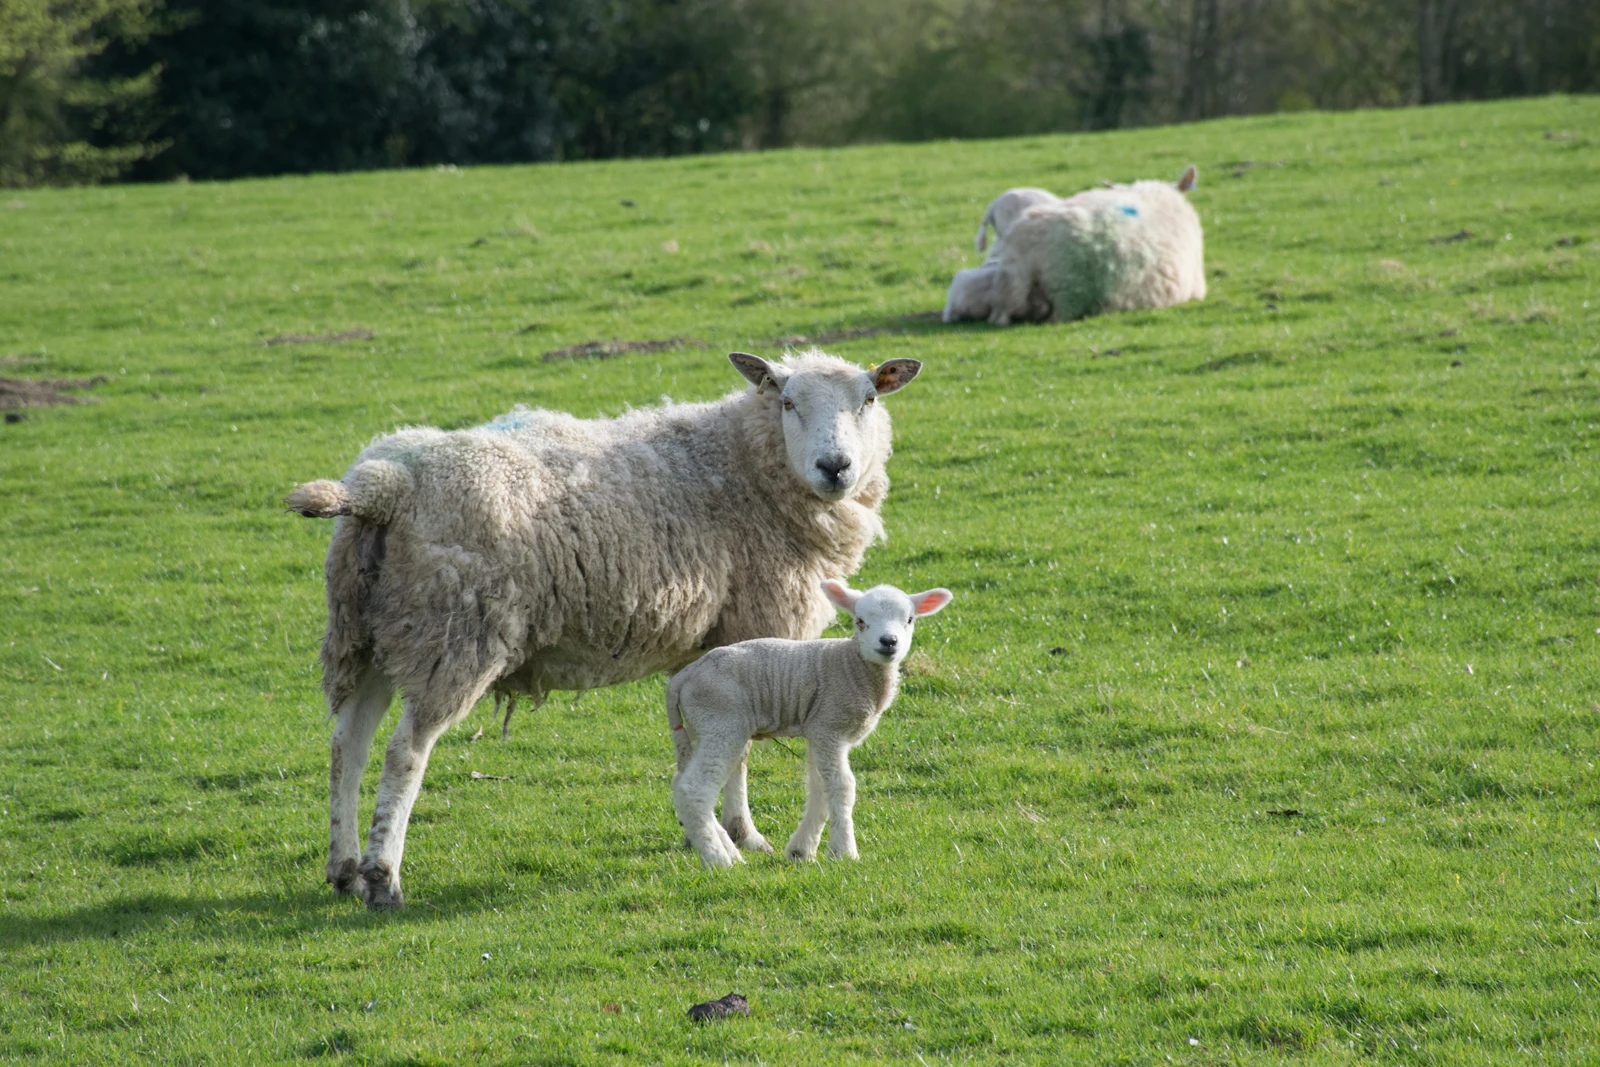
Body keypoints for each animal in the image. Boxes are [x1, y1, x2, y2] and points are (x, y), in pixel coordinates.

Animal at [284, 349, 923, 908]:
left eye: (869, 399)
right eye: (787, 401)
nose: (835, 467)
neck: (741, 464)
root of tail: (381, 486)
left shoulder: (707, 647)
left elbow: (698, 745)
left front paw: (703, 832)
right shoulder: (755, 625)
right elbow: (738, 752)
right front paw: (744, 834)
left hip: (366, 633)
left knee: (347, 744)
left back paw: (343, 869)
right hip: (453, 634)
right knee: (404, 754)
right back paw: (382, 878)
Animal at [667, 579, 953, 868]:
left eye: (910, 619)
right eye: (860, 621)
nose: (888, 641)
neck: (850, 664)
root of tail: (684, 675)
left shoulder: (819, 731)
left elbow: (820, 787)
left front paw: (802, 851)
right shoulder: (830, 725)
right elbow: (842, 785)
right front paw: (845, 852)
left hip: (701, 727)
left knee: (680, 784)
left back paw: (730, 852)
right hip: (722, 720)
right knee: (694, 788)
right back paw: (718, 859)